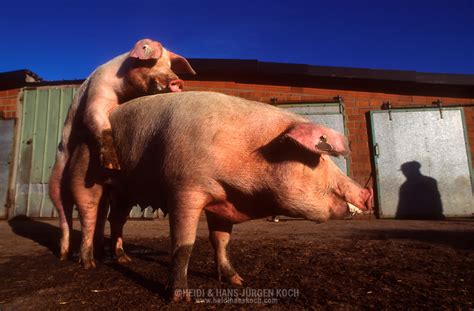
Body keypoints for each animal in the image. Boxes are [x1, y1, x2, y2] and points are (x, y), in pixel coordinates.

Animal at [66, 91, 372, 302]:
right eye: (320, 159)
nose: (367, 193)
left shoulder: (223, 202)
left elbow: (221, 242)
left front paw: (238, 281)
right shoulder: (184, 189)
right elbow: (183, 244)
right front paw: (180, 298)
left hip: (124, 191)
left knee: (115, 219)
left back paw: (123, 260)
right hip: (86, 174)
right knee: (89, 214)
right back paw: (89, 263)